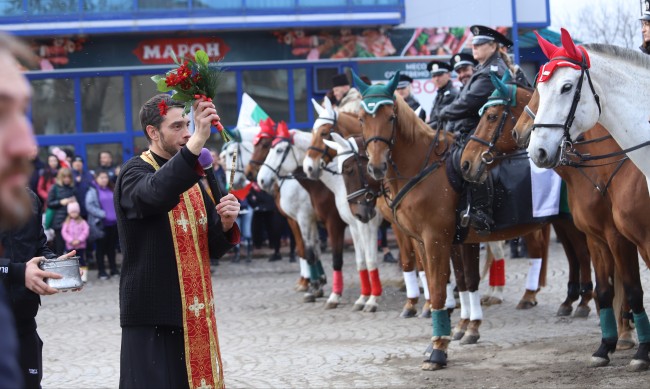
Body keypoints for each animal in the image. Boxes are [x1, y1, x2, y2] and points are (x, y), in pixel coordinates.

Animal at [258, 130, 382, 312]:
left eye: (279, 150)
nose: (261, 180)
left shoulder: (335, 223)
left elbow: (342, 258)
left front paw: (333, 294)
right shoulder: (312, 221)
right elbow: (311, 252)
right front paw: (315, 288)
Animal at [464, 80, 644, 368]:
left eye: (491, 116)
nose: (466, 163)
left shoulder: (617, 236)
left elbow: (626, 286)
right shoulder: (598, 236)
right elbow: (608, 286)